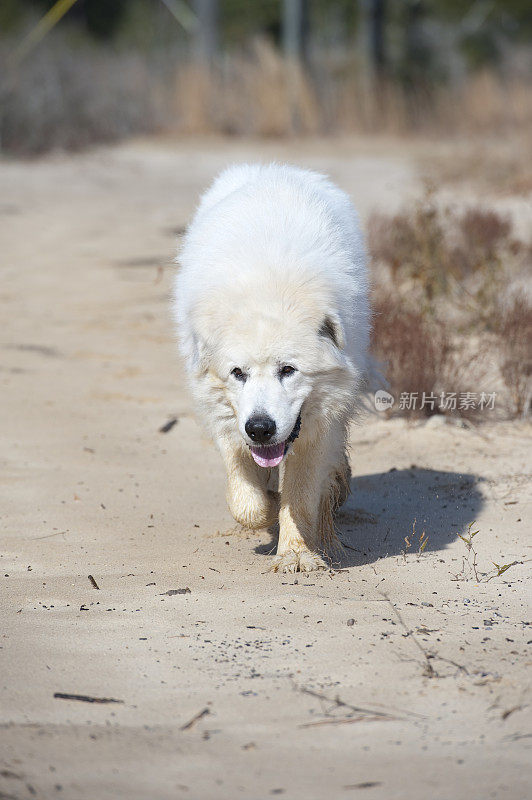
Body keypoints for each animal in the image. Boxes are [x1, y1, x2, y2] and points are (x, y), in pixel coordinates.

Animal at [174, 164, 370, 576]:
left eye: (288, 370)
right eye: (238, 373)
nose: (260, 428)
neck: (268, 292)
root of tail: (274, 167)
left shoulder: (316, 427)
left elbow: (299, 495)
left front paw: (296, 554)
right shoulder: (226, 419)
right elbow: (247, 503)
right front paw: (267, 508)